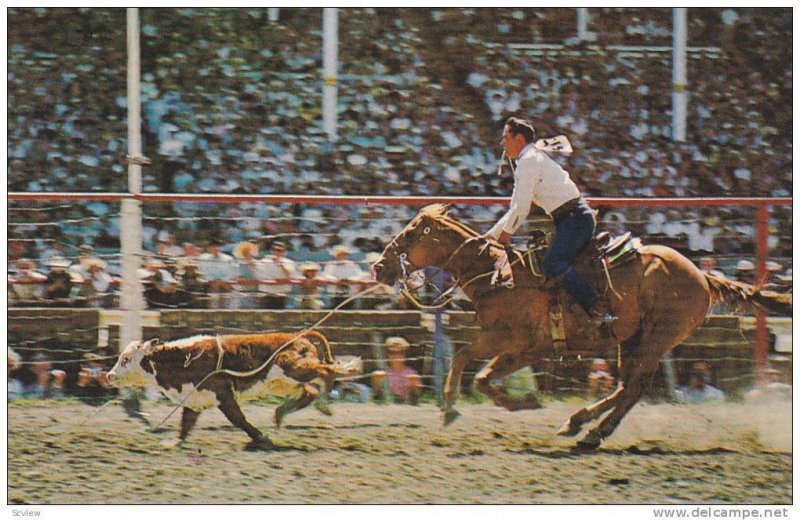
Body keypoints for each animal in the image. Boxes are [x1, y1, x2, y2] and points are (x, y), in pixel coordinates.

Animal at [106, 330, 356, 446]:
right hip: (283, 383)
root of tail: (298, 337)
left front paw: (261, 437)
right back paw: (283, 413)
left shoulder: (222, 394)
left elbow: (238, 419)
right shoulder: (194, 398)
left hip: (293, 369)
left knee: (326, 371)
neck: (185, 359)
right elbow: (185, 424)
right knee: (309, 391)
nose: (109, 376)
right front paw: (174, 442)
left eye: (126, 359)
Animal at [372, 205, 792, 448]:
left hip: (656, 339)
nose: (378, 267)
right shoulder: (524, 348)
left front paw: (452, 408)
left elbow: (465, 360)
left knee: (634, 387)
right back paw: (580, 424)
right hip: (631, 340)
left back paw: (591, 433)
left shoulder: (508, 338)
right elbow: (483, 376)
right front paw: (522, 401)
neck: (497, 274)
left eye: (410, 232)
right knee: (627, 386)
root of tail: (702, 276)